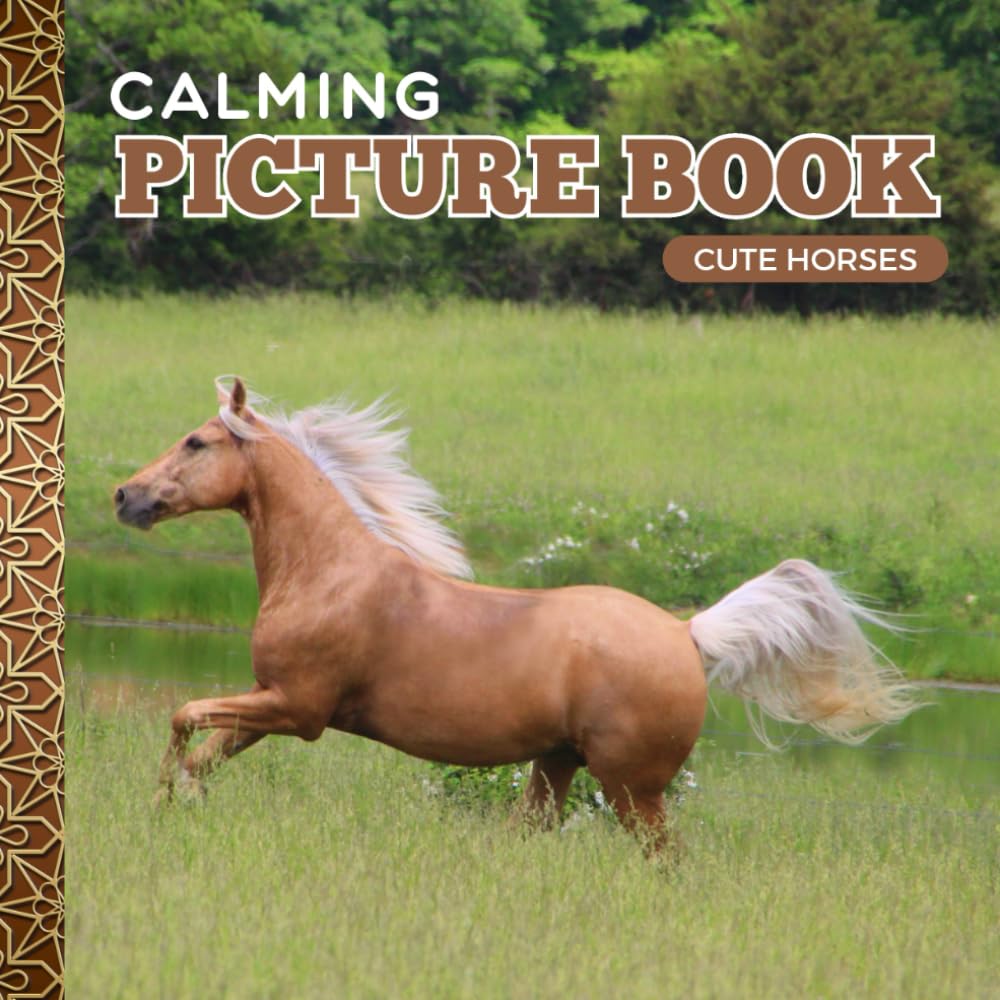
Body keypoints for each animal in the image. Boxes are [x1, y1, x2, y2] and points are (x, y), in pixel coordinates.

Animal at [114, 377, 917, 839]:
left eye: (196, 441)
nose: (126, 496)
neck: (329, 571)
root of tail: (687, 633)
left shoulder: (296, 707)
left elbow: (181, 717)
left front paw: (159, 801)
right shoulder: (267, 702)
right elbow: (204, 753)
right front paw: (176, 805)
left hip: (633, 789)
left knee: (663, 858)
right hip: (556, 765)